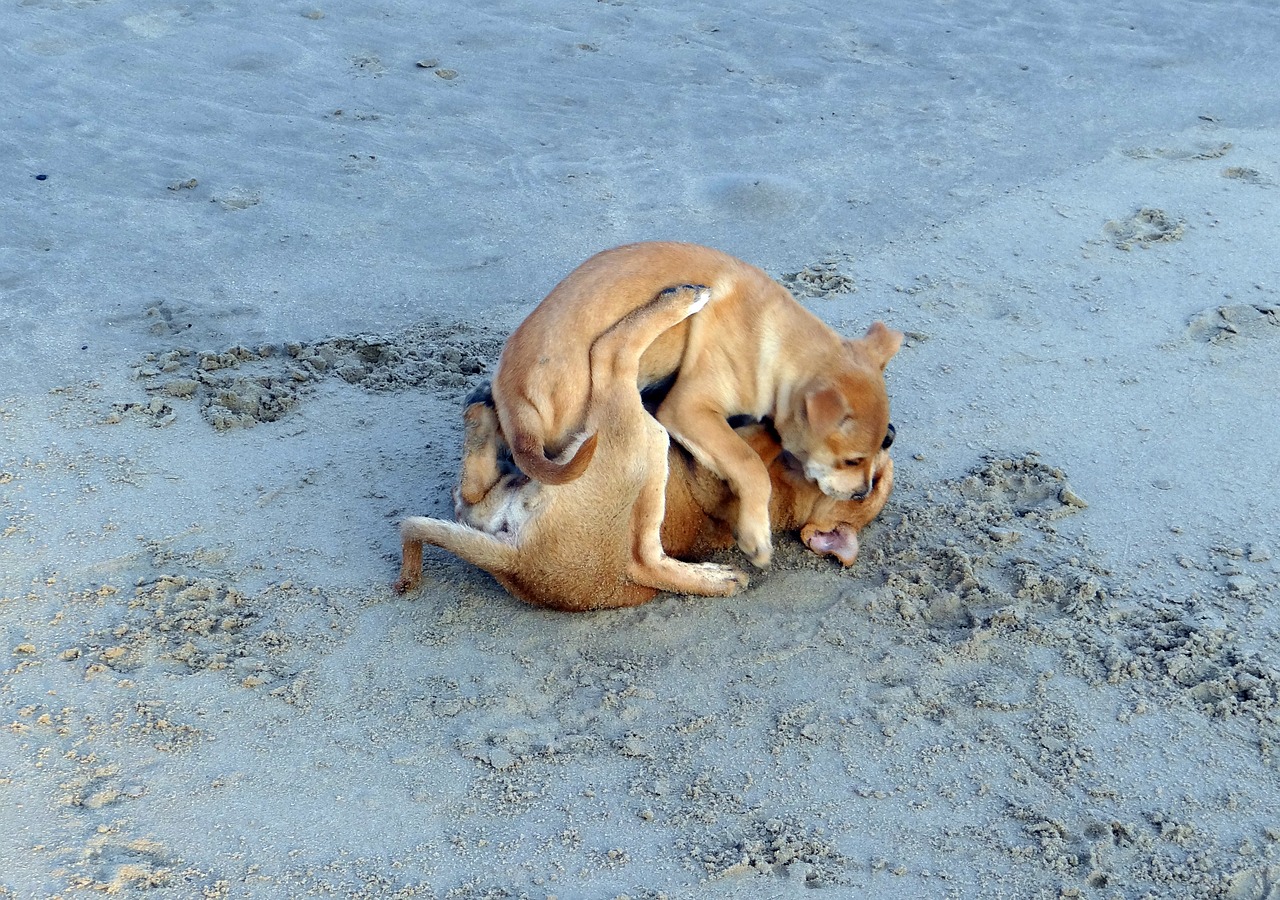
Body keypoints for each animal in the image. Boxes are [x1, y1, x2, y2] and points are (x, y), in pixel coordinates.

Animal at [471, 243, 901, 565]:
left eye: (882, 446)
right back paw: (681, 300)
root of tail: (516, 402)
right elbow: (748, 464)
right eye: (852, 461)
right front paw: (756, 534)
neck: (773, 341)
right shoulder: (689, 409)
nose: (861, 493)